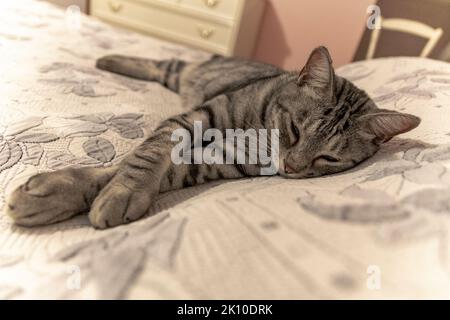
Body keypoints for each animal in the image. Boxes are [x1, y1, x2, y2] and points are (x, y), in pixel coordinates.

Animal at [6, 46, 422, 229]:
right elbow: (143, 156)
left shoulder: (220, 158)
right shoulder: (197, 116)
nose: (291, 167)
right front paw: (120, 190)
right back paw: (107, 60)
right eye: (294, 129)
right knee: (164, 64)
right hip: (185, 74)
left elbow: (151, 171)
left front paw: (74, 194)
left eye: (328, 160)